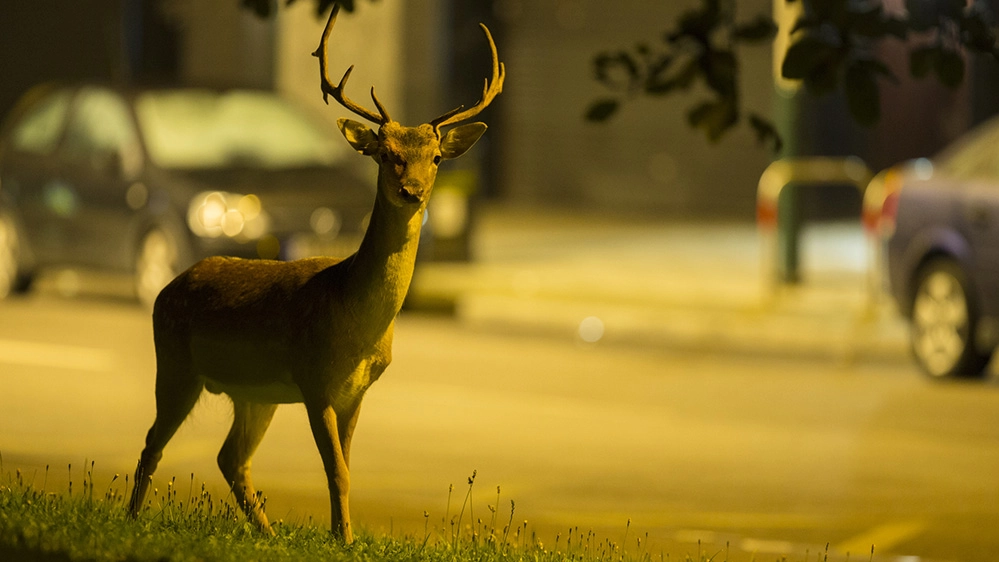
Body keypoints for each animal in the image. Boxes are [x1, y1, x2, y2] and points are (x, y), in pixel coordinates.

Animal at [127, 2, 500, 540]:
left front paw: (341, 535)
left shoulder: (354, 393)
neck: (355, 320)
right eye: (386, 154)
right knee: (152, 444)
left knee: (229, 458)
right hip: (175, 364)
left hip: (252, 394)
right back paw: (132, 519)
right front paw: (343, 538)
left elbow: (346, 466)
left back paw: (266, 533)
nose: (412, 191)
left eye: (434, 157)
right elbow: (337, 470)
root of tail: (168, 287)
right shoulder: (314, 379)